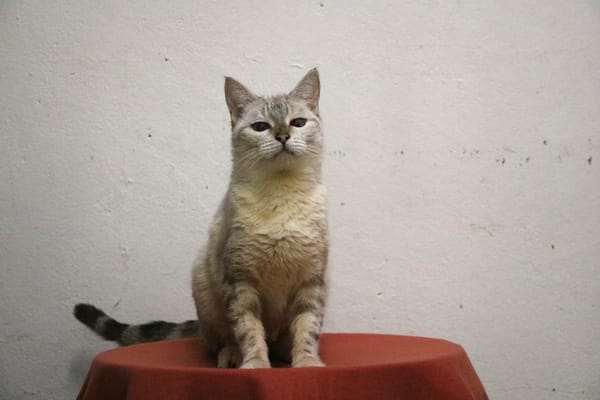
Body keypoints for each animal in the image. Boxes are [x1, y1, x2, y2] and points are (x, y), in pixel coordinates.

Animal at [74, 68, 328, 369]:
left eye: (297, 122)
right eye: (260, 127)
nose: (282, 136)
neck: (281, 195)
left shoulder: (311, 281)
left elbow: (307, 328)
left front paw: (307, 362)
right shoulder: (239, 281)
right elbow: (249, 330)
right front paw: (255, 363)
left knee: (280, 343)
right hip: (204, 288)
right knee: (221, 340)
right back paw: (232, 356)